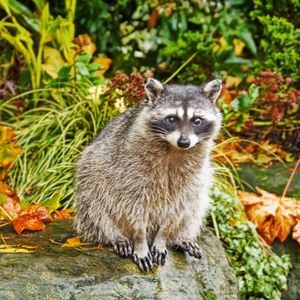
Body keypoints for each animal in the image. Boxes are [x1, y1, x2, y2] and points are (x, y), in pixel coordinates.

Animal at [74, 78, 221, 272]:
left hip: (201, 179)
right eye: (171, 119)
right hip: (91, 172)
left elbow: (179, 206)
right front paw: (140, 240)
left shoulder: (193, 174)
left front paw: (163, 237)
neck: (173, 148)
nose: (184, 142)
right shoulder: (129, 169)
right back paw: (114, 235)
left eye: (197, 120)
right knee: (95, 204)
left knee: (196, 204)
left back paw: (181, 237)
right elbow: (132, 205)